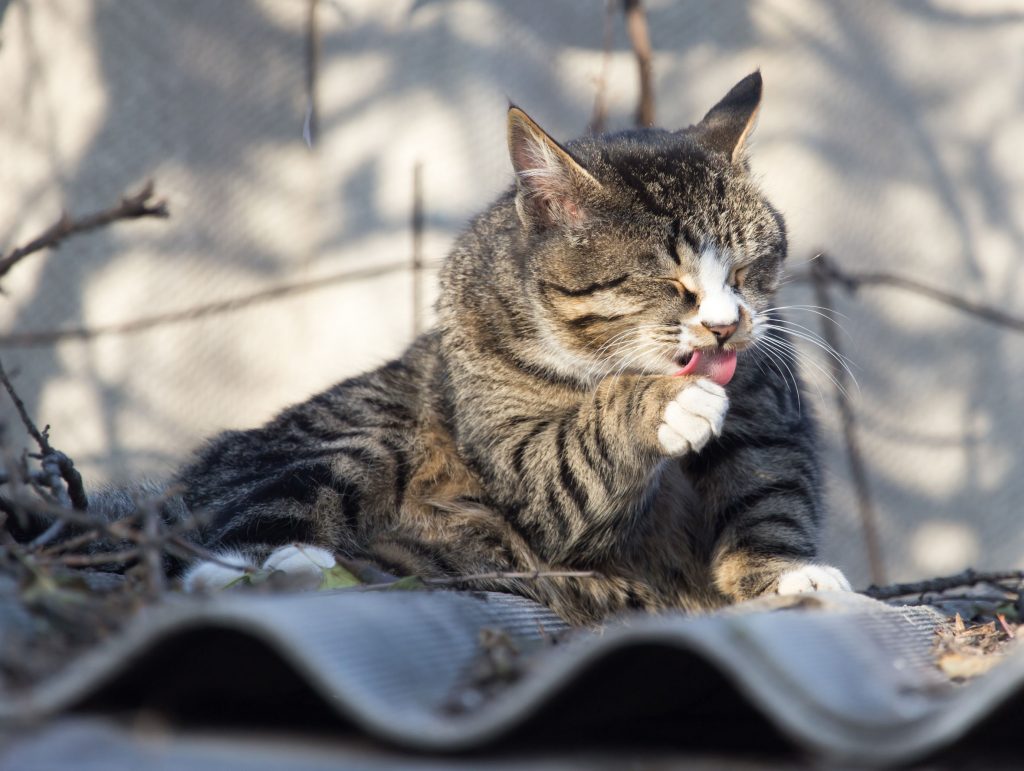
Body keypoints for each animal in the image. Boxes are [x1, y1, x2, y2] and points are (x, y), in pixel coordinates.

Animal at [167, 70, 847, 626]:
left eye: (746, 269)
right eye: (668, 283)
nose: (726, 325)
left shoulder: (766, 399)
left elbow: (766, 487)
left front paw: (783, 572)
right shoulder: (522, 466)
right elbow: (567, 460)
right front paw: (658, 404)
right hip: (351, 434)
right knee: (231, 524)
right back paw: (270, 570)